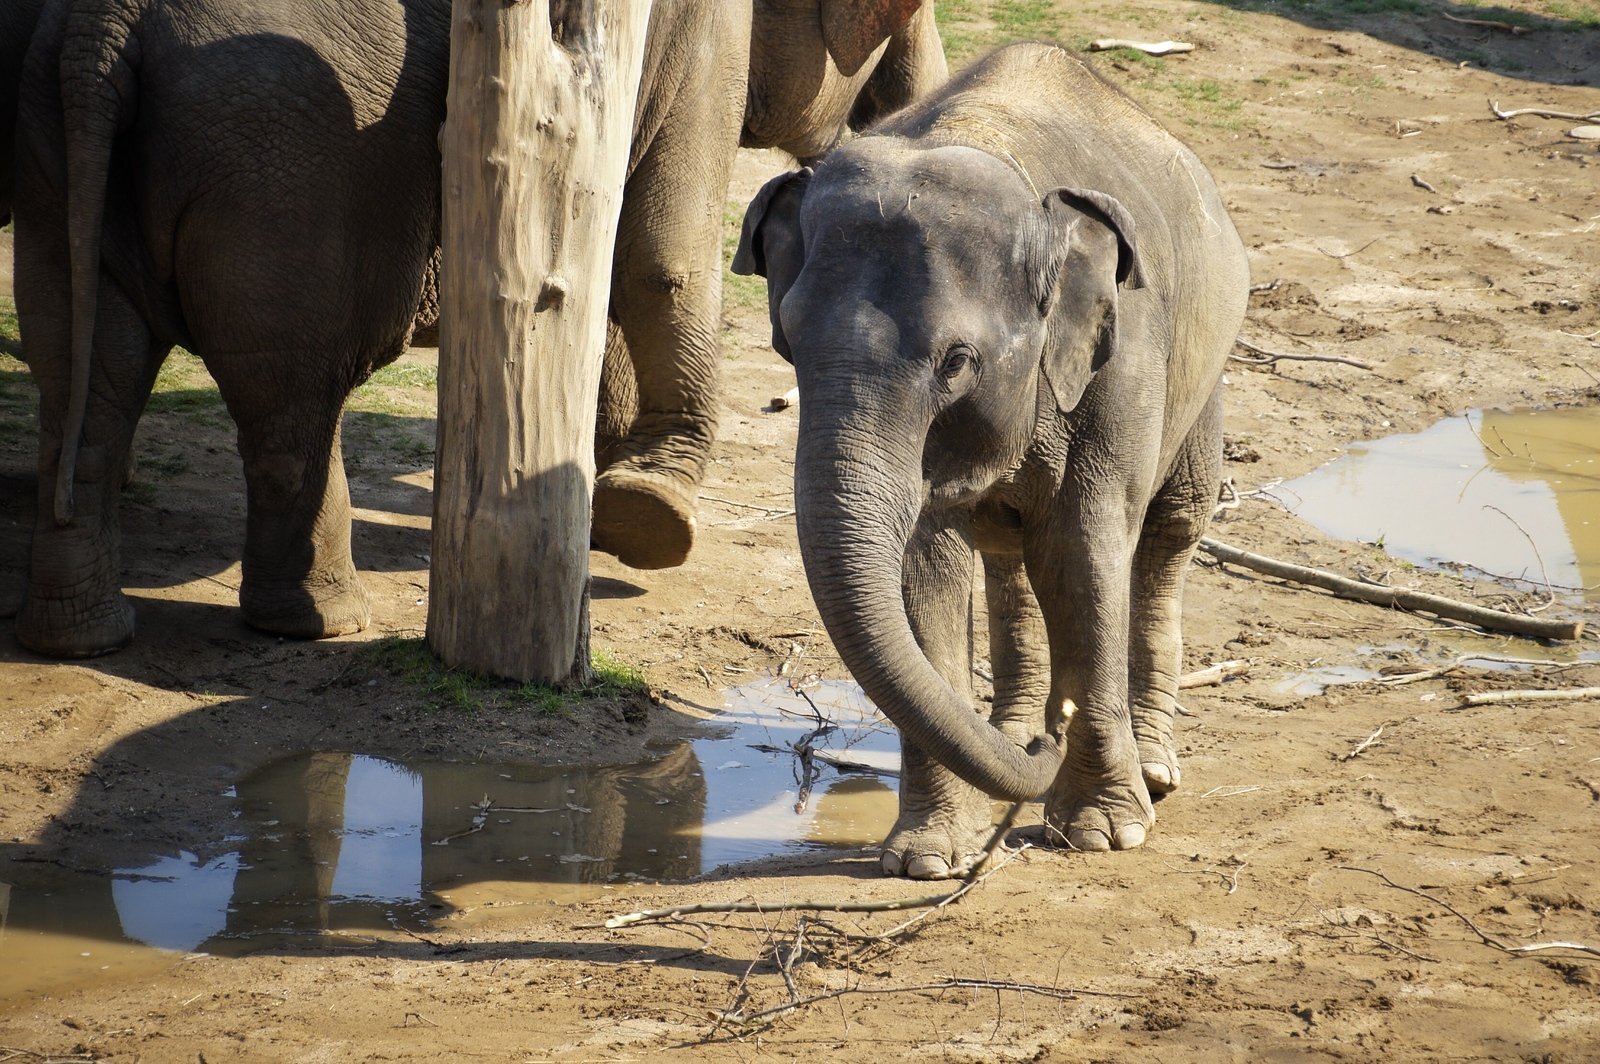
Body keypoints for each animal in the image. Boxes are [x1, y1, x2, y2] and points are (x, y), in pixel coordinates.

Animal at [9, 0, 934, 656]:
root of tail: (103, 24)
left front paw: (601, 499)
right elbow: (660, 257)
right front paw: (650, 519)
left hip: (65, 151)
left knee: (86, 372)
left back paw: (80, 638)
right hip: (279, 158)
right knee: (291, 391)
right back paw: (320, 624)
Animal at [732, 41, 1248, 876]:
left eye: (957, 362)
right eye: (789, 340)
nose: (1053, 733)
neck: (977, 138)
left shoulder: (1122, 365)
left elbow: (1082, 549)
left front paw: (1103, 833)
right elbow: (924, 570)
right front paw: (924, 856)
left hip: (1206, 363)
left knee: (1171, 528)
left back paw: (1152, 766)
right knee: (1006, 550)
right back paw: (1008, 735)